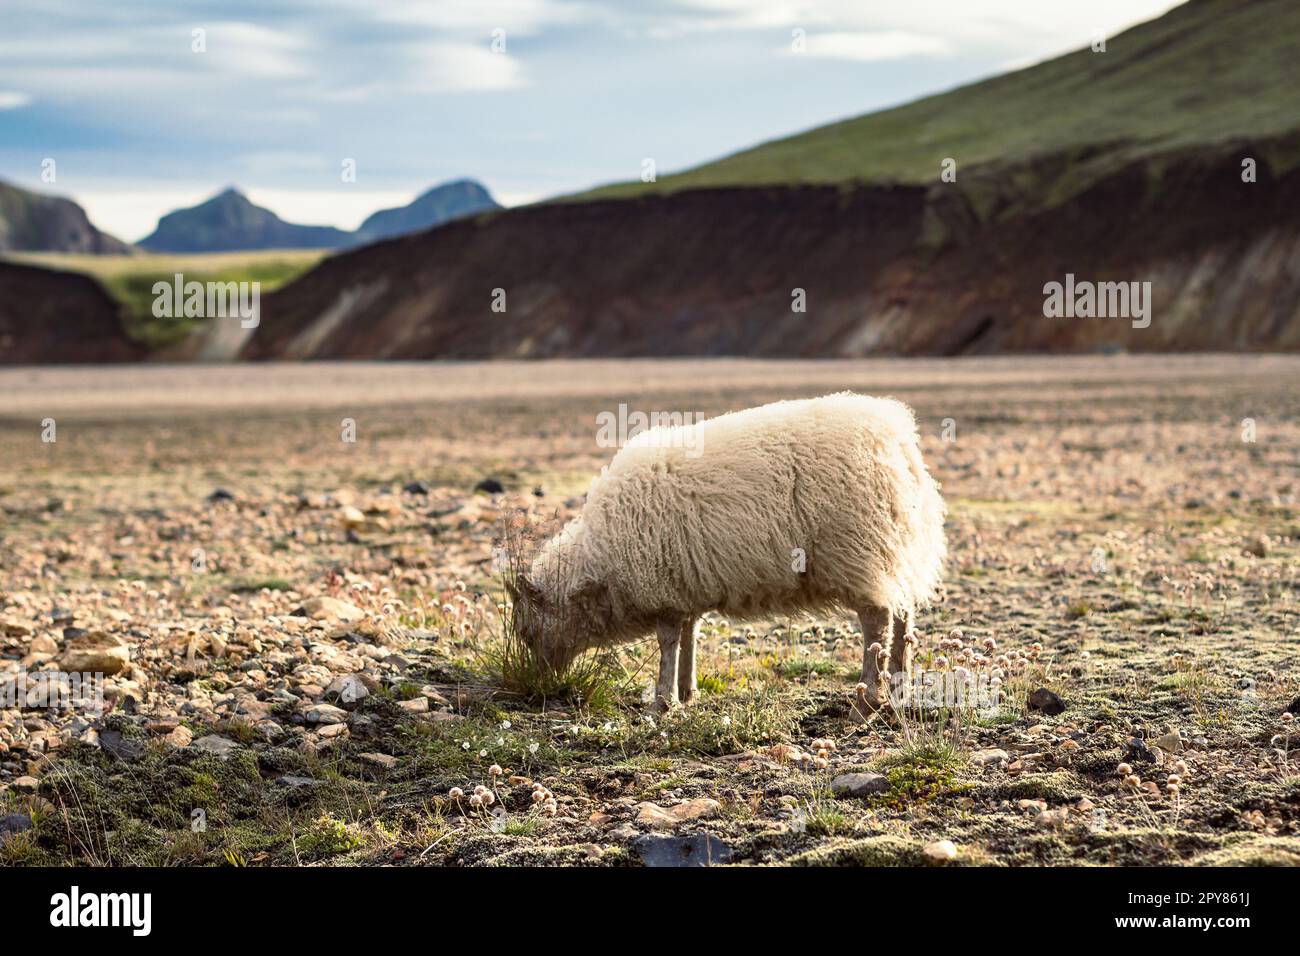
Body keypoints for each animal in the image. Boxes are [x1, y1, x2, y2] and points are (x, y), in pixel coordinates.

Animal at [506, 392, 946, 712]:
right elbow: (689, 637)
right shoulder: (685, 587)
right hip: (895, 547)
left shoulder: (663, 587)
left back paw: (868, 699)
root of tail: (896, 438)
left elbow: (668, 641)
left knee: (878, 622)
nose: (539, 683)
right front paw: (687, 691)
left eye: (527, 632)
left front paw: (663, 701)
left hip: (859, 551)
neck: (601, 560)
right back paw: (899, 686)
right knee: (904, 615)